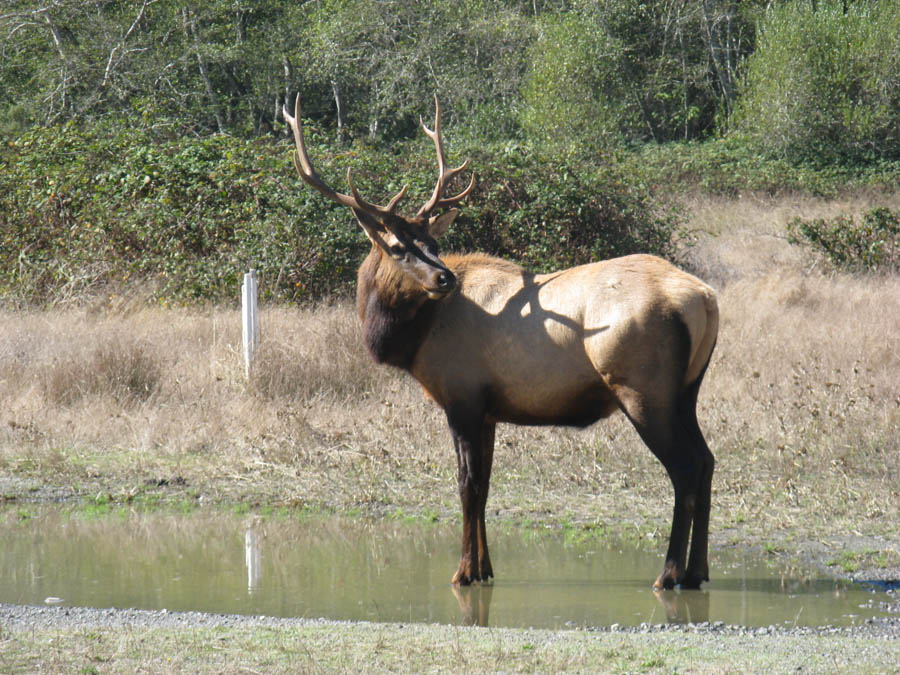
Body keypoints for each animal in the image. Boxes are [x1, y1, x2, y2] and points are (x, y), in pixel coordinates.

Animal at [282, 95, 716, 592]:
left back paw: (669, 573)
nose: (444, 278)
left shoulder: (462, 396)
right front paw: (485, 568)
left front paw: (463, 571)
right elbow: (486, 484)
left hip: (642, 388)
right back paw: (698, 570)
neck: (411, 340)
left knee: (684, 468)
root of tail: (706, 298)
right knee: (707, 460)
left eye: (432, 243)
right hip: (687, 391)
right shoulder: (489, 409)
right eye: (399, 246)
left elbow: (466, 484)